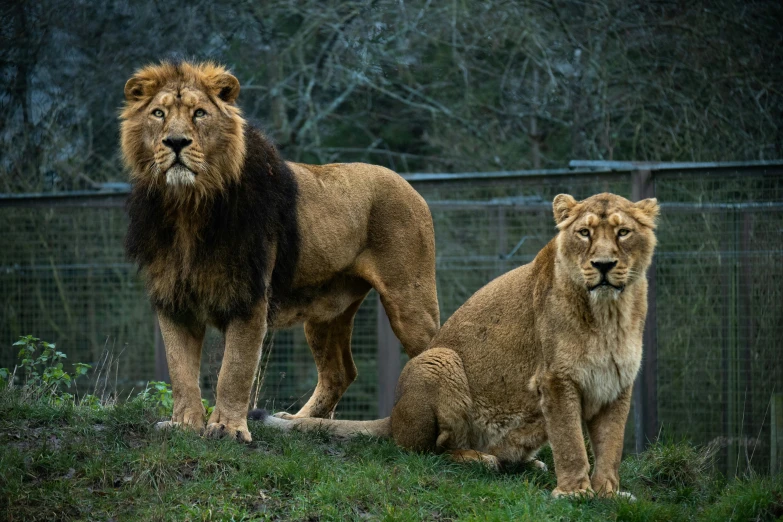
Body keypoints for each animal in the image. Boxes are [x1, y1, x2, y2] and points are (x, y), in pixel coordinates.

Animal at [121, 62, 440, 442]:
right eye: (158, 113)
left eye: (199, 113)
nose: (176, 142)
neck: (188, 206)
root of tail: (409, 185)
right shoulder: (173, 299)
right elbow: (180, 370)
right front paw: (184, 425)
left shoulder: (249, 295)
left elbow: (235, 370)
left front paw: (228, 429)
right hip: (326, 311)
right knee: (340, 372)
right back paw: (299, 422)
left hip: (409, 300)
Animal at [262, 191, 660, 496]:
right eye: (584, 233)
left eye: (624, 232)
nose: (604, 264)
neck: (609, 313)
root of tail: (394, 416)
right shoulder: (555, 380)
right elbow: (571, 441)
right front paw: (575, 493)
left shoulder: (617, 383)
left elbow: (610, 445)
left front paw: (609, 493)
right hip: (440, 360)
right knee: (430, 452)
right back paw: (482, 459)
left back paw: (527, 463)